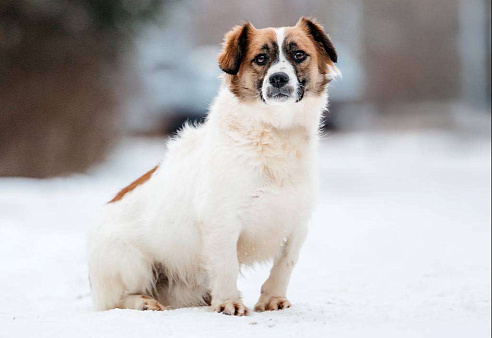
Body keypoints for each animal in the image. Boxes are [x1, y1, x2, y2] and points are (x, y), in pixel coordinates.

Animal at [88, 16, 340, 316]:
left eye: (299, 54)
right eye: (260, 58)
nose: (278, 78)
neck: (275, 132)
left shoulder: (297, 220)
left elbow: (285, 264)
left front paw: (272, 299)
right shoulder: (222, 220)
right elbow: (226, 265)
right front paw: (229, 301)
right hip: (131, 261)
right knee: (118, 300)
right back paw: (144, 302)